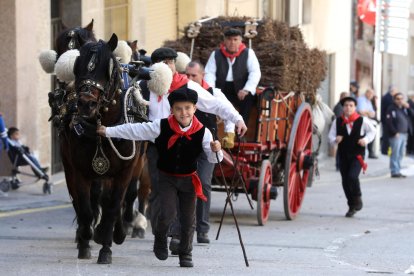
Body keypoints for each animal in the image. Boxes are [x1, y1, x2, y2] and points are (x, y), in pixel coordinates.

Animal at [55, 33, 148, 264]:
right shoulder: (79, 171)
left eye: (108, 68)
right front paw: (85, 242)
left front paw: (106, 247)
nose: (86, 104)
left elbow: (114, 205)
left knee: (116, 200)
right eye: (77, 66)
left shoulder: (126, 169)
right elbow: (85, 208)